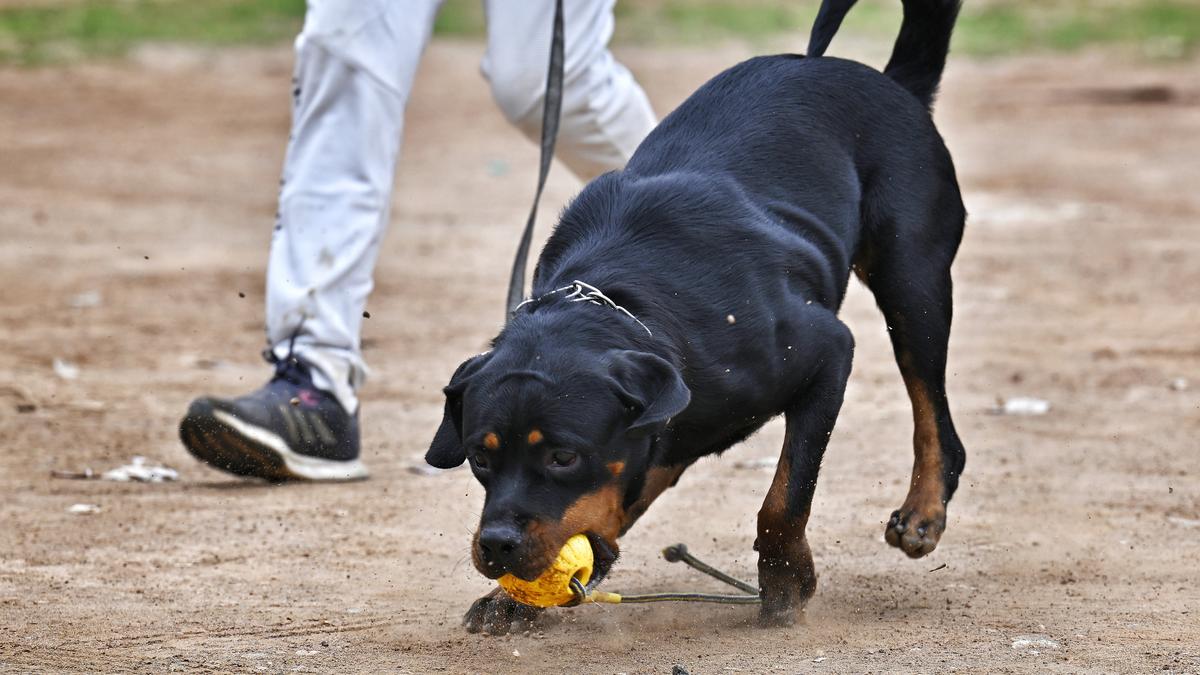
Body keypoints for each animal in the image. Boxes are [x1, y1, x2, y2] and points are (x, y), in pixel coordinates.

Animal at [427, 0, 969, 629]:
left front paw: (784, 581)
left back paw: (923, 511)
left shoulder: (829, 351)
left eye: (563, 456)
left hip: (913, 280)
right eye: (478, 457)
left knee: (934, 414)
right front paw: (512, 599)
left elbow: (785, 495)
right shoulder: (664, 427)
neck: (625, 301)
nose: (497, 544)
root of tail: (893, 84)